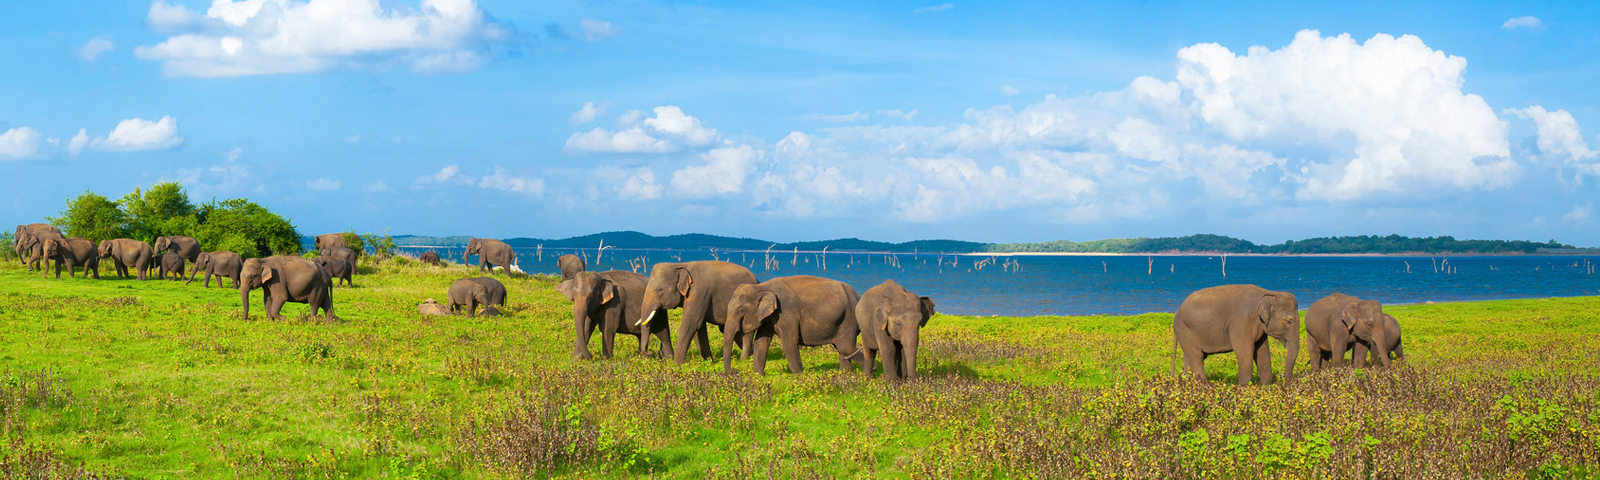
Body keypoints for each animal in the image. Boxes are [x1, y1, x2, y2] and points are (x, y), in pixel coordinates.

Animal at [723, 273, 864, 374]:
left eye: (740, 311)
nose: (734, 371)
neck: (762, 286)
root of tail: (857, 296)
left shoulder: (787, 312)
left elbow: (789, 342)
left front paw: (799, 376)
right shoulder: (769, 317)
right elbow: (761, 342)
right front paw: (758, 375)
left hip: (849, 318)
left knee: (846, 347)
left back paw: (866, 376)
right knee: (843, 349)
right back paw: (847, 375)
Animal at [1171, 284, 1305, 385]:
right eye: (1289, 320)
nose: (1287, 382)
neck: (1269, 293)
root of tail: (1177, 312)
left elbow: (1262, 353)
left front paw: (1266, 387)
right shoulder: (1241, 322)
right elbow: (1245, 352)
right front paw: (1243, 389)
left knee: (1190, 358)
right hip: (1185, 330)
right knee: (1197, 357)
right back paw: (1205, 387)